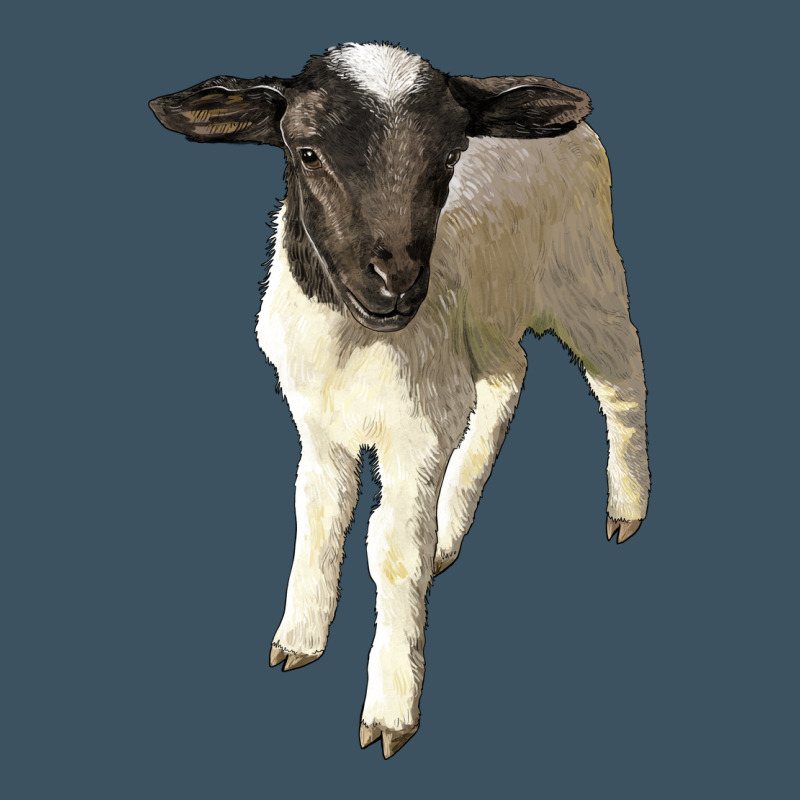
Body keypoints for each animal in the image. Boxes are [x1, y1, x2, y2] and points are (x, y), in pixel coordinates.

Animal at [149, 42, 650, 759]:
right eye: (307, 151)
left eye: (449, 155)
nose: (396, 285)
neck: (353, 344)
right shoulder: (318, 422)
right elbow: (319, 514)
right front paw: (298, 639)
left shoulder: (416, 433)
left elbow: (391, 551)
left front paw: (389, 710)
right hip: (485, 320)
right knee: (509, 375)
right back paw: (452, 526)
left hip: (585, 274)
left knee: (620, 376)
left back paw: (626, 507)